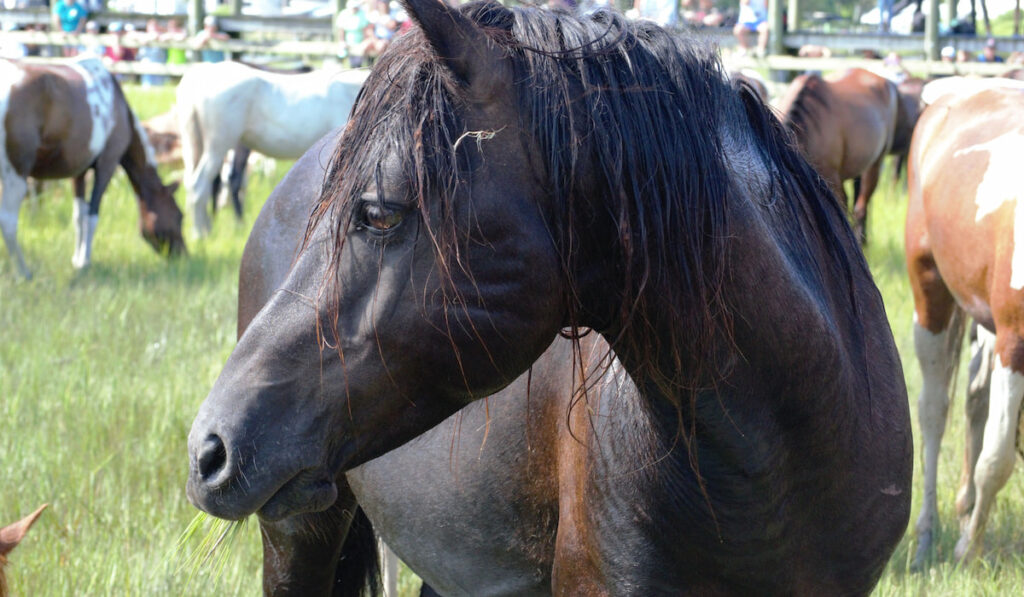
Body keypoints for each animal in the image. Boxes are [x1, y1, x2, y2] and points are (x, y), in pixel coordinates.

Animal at [1, 57, 184, 278]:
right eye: (179, 215)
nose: (184, 255)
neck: (120, 108)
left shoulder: (78, 173)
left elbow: (79, 216)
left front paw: (76, 259)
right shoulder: (107, 165)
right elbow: (92, 215)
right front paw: (84, 262)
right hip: (16, 176)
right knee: (8, 221)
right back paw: (23, 273)